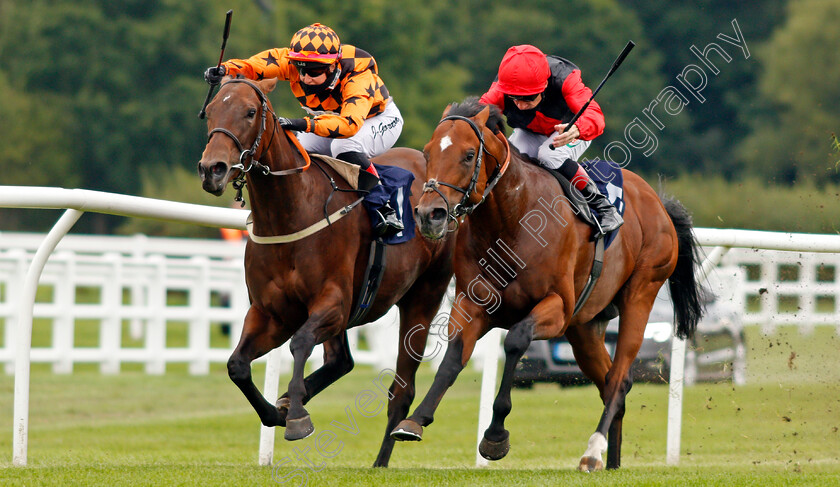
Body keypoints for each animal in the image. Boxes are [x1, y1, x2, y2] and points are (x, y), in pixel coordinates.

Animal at [196, 77, 456, 468]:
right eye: (211, 111)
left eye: (250, 112)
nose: (212, 169)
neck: (290, 211)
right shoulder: (271, 312)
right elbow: (236, 364)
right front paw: (278, 410)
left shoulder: (331, 302)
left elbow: (300, 343)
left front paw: (296, 417)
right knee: (341, 361)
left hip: (424, 295)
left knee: (402, 388)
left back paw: (382, 458)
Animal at [390, 99, 704, 472]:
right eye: (427, 152)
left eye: (468, 155)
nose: (429, 215)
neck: (513, 220)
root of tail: (658, 202)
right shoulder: (472, 304)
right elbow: (452, 359)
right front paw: (414, 421)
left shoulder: (557, 307)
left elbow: (516, 341)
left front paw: (495, 436)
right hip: (583, 328)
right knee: (611, 382)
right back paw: (612, 462)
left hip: (640, 294)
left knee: (618, 379)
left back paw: (593, 452)